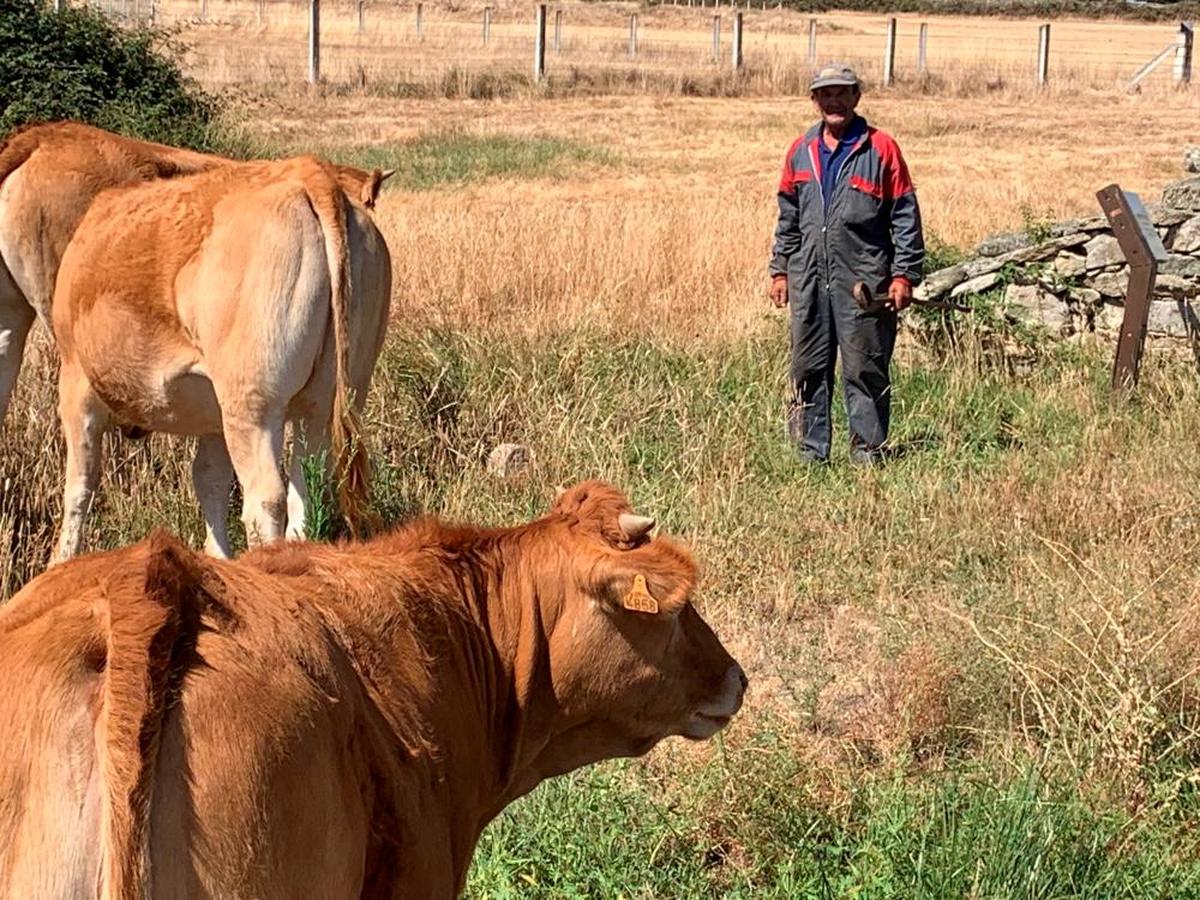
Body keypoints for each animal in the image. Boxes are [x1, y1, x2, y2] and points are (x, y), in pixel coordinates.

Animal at [49, 154, 393, 564]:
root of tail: (307, 171)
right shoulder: (213, 414)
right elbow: (209, 480)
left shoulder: (76, 381)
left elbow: (79, 486)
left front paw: (60, 561)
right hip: (330, 399)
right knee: (306, 492)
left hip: (252, 405)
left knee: (266, 500)